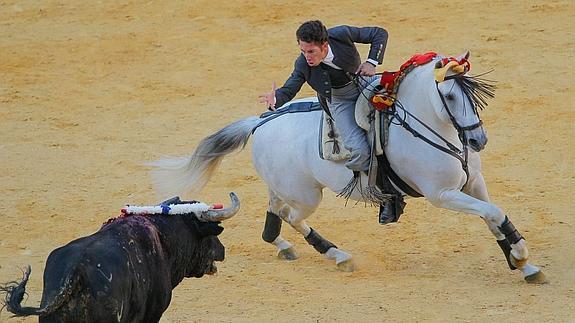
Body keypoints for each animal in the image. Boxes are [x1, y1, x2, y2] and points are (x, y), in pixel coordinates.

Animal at [151, 51, 548, 284]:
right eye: (449, 95)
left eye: (472, 93)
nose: (478, 140)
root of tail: (261, 121)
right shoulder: (443, 194)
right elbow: (494, 213)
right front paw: (521, 257)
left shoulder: (472, 182)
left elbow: (494, 215)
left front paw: (523, 264)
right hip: (308, 195)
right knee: (292, 215)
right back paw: (338, 256)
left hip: (287, 186)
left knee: (275, 209)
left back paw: (281, 245)